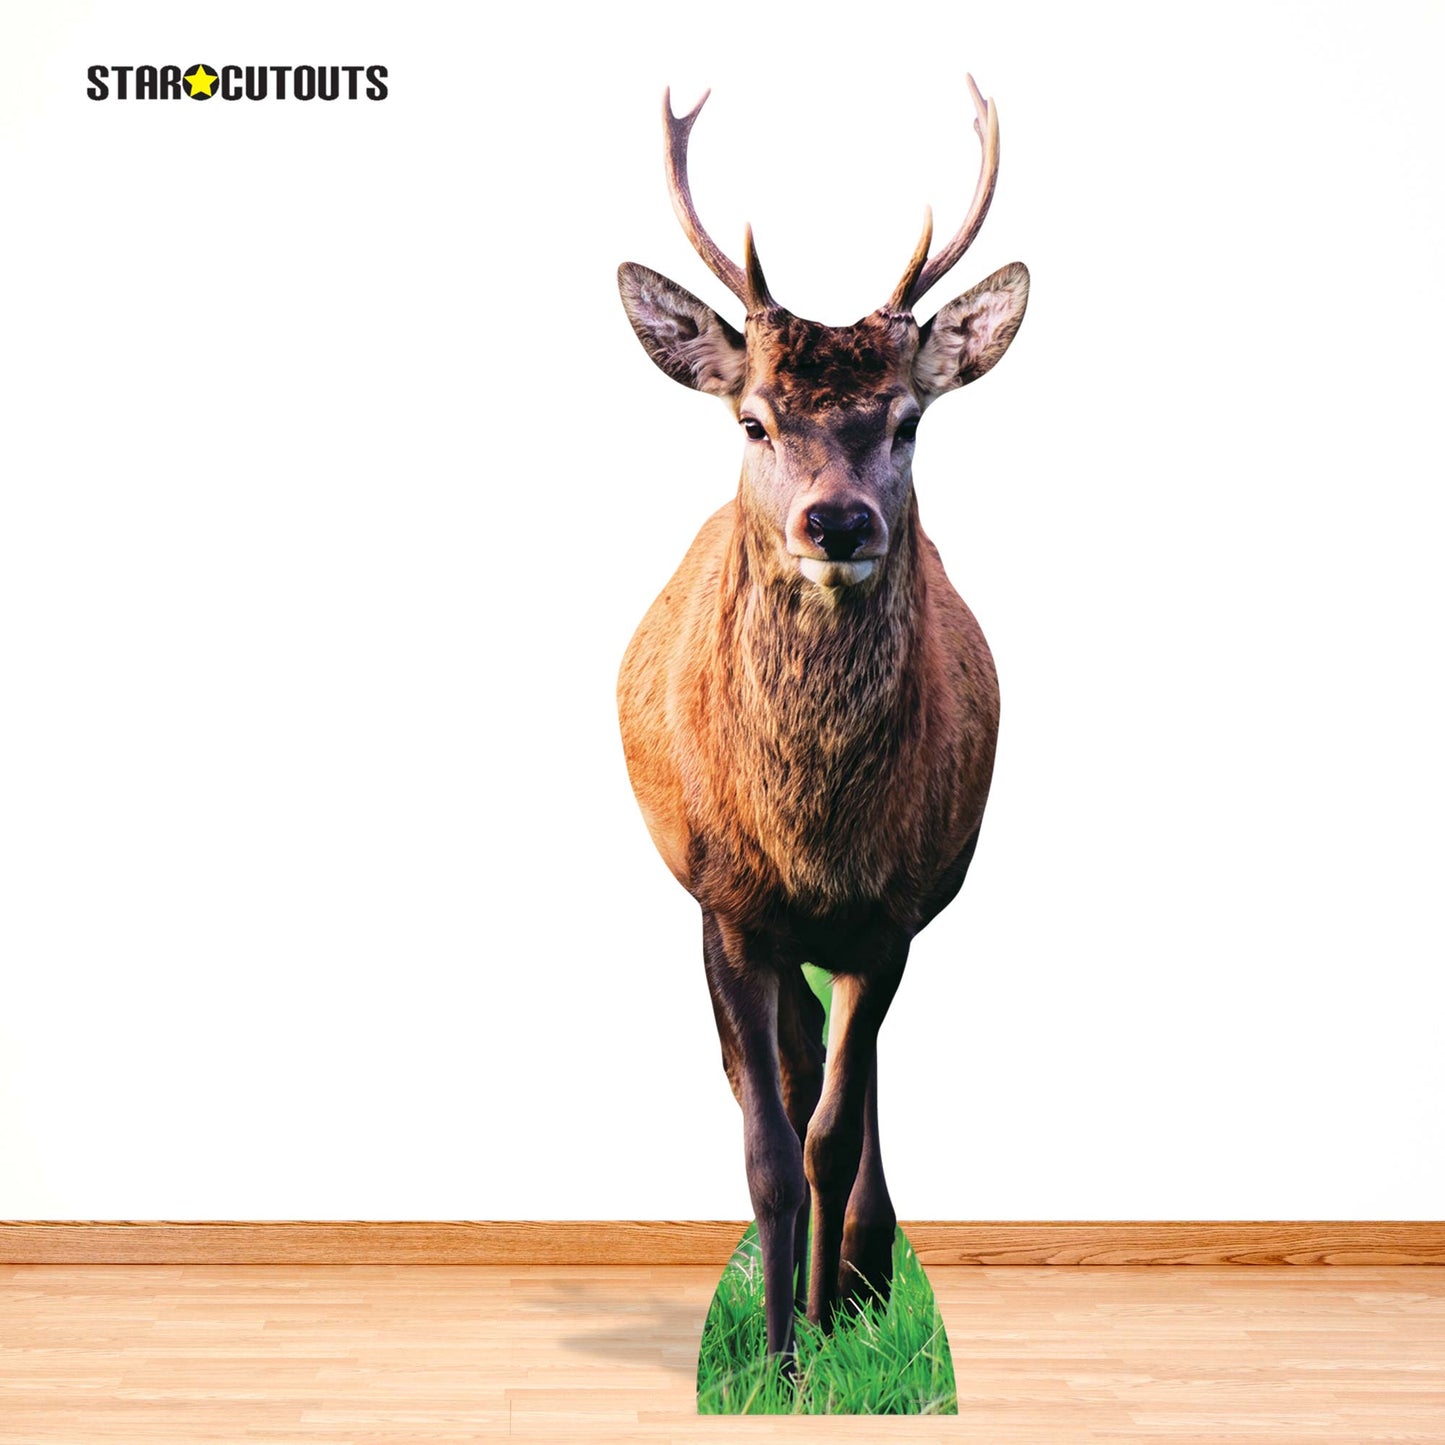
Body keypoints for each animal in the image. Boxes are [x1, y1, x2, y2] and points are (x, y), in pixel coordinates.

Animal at [615, 78, 1028, 1365]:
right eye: (752, 420)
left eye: (904, 422)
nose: (836, 521)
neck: (811, 836)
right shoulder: (726, 901)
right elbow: (766, 1147)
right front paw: (775, 1354)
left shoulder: (889, 914)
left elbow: (831, 1134)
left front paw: (825, 1331)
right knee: (780, 1081)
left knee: (853, 1093)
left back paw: (861, 1274)